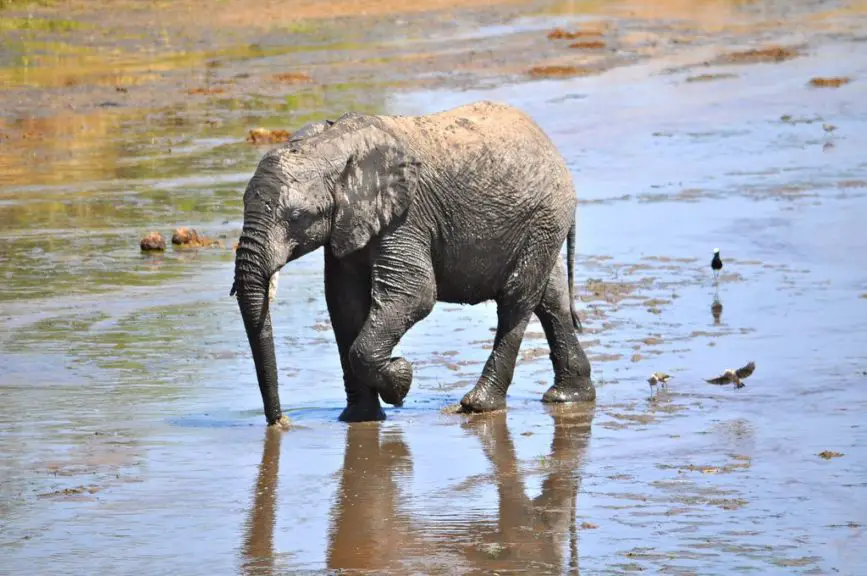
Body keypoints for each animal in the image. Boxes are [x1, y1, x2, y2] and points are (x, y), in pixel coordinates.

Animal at [231, 100, 596, 424]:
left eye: (296, 217)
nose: (281, 422)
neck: (329, 147)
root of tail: (550, 146)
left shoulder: (407, 216)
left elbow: (414, 293)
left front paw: (401, 381)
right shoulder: (347, 225)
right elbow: (343, 303)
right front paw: (358, 418)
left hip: (544, 215)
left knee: (516, 300)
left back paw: (477, 405)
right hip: (543, 225)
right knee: (550, 300)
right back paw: (568, 397)